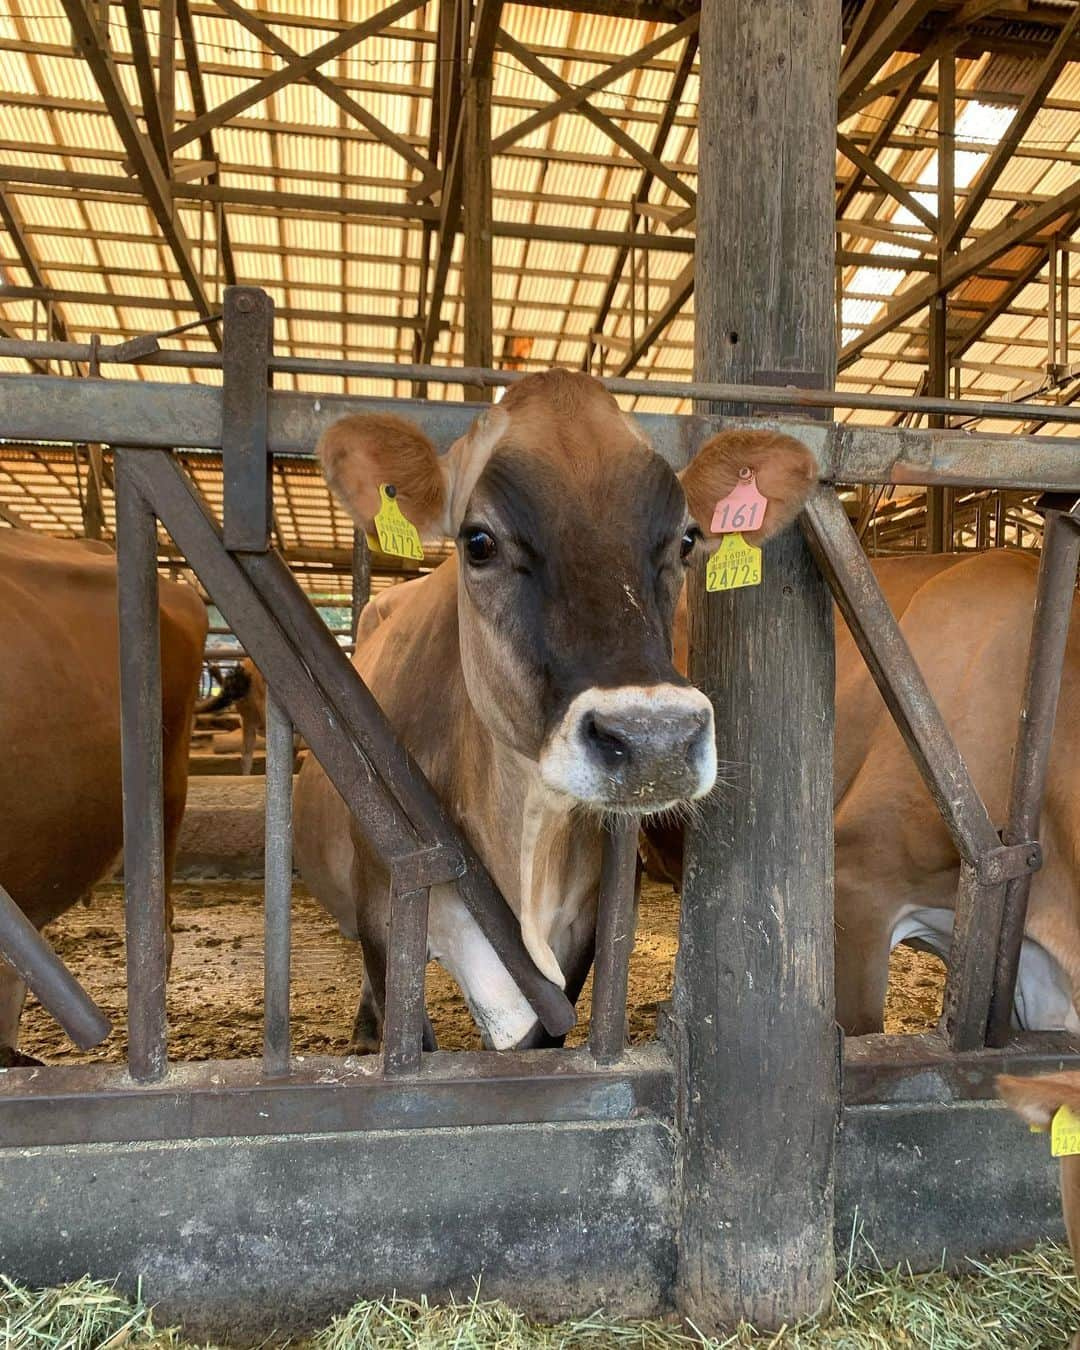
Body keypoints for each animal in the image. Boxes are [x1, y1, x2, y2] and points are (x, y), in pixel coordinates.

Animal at [291, 372, 815, 1053]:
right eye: (478, 541)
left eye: (688, 539)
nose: (654, 739)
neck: (525, 846)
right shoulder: (386, 915)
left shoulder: (582, 941)